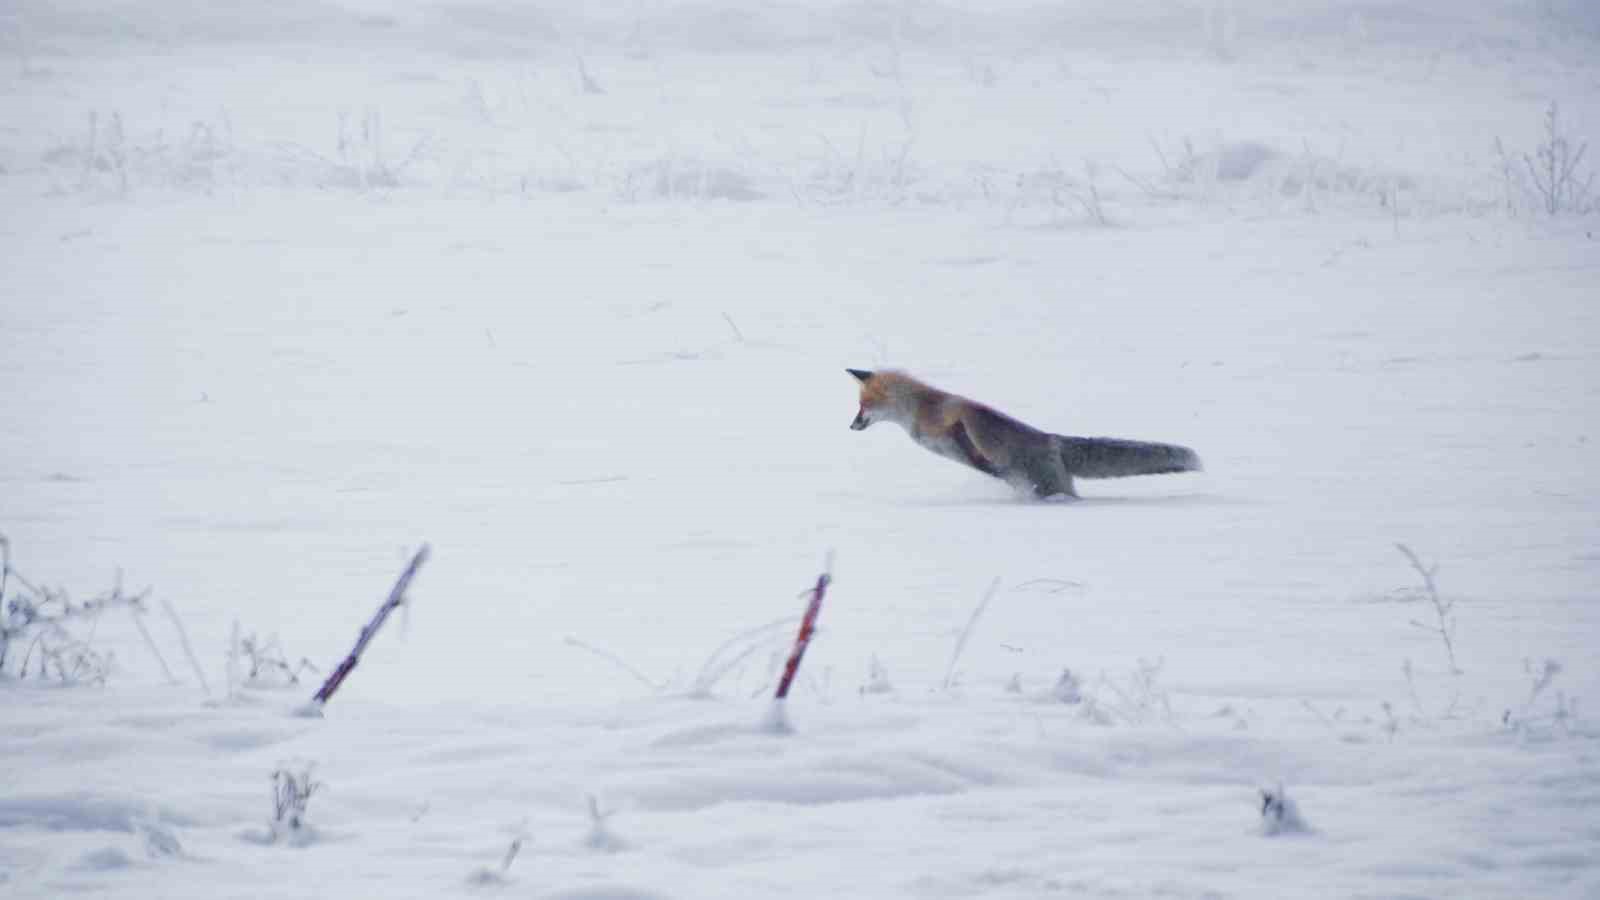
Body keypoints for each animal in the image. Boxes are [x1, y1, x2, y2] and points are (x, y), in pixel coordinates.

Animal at [851, 368, 1203, 499]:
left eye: (862, 406)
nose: (851, 426)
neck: (918, 413)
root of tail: (1053, 439)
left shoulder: (960, 415)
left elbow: (972, 429)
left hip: (1048, 484)